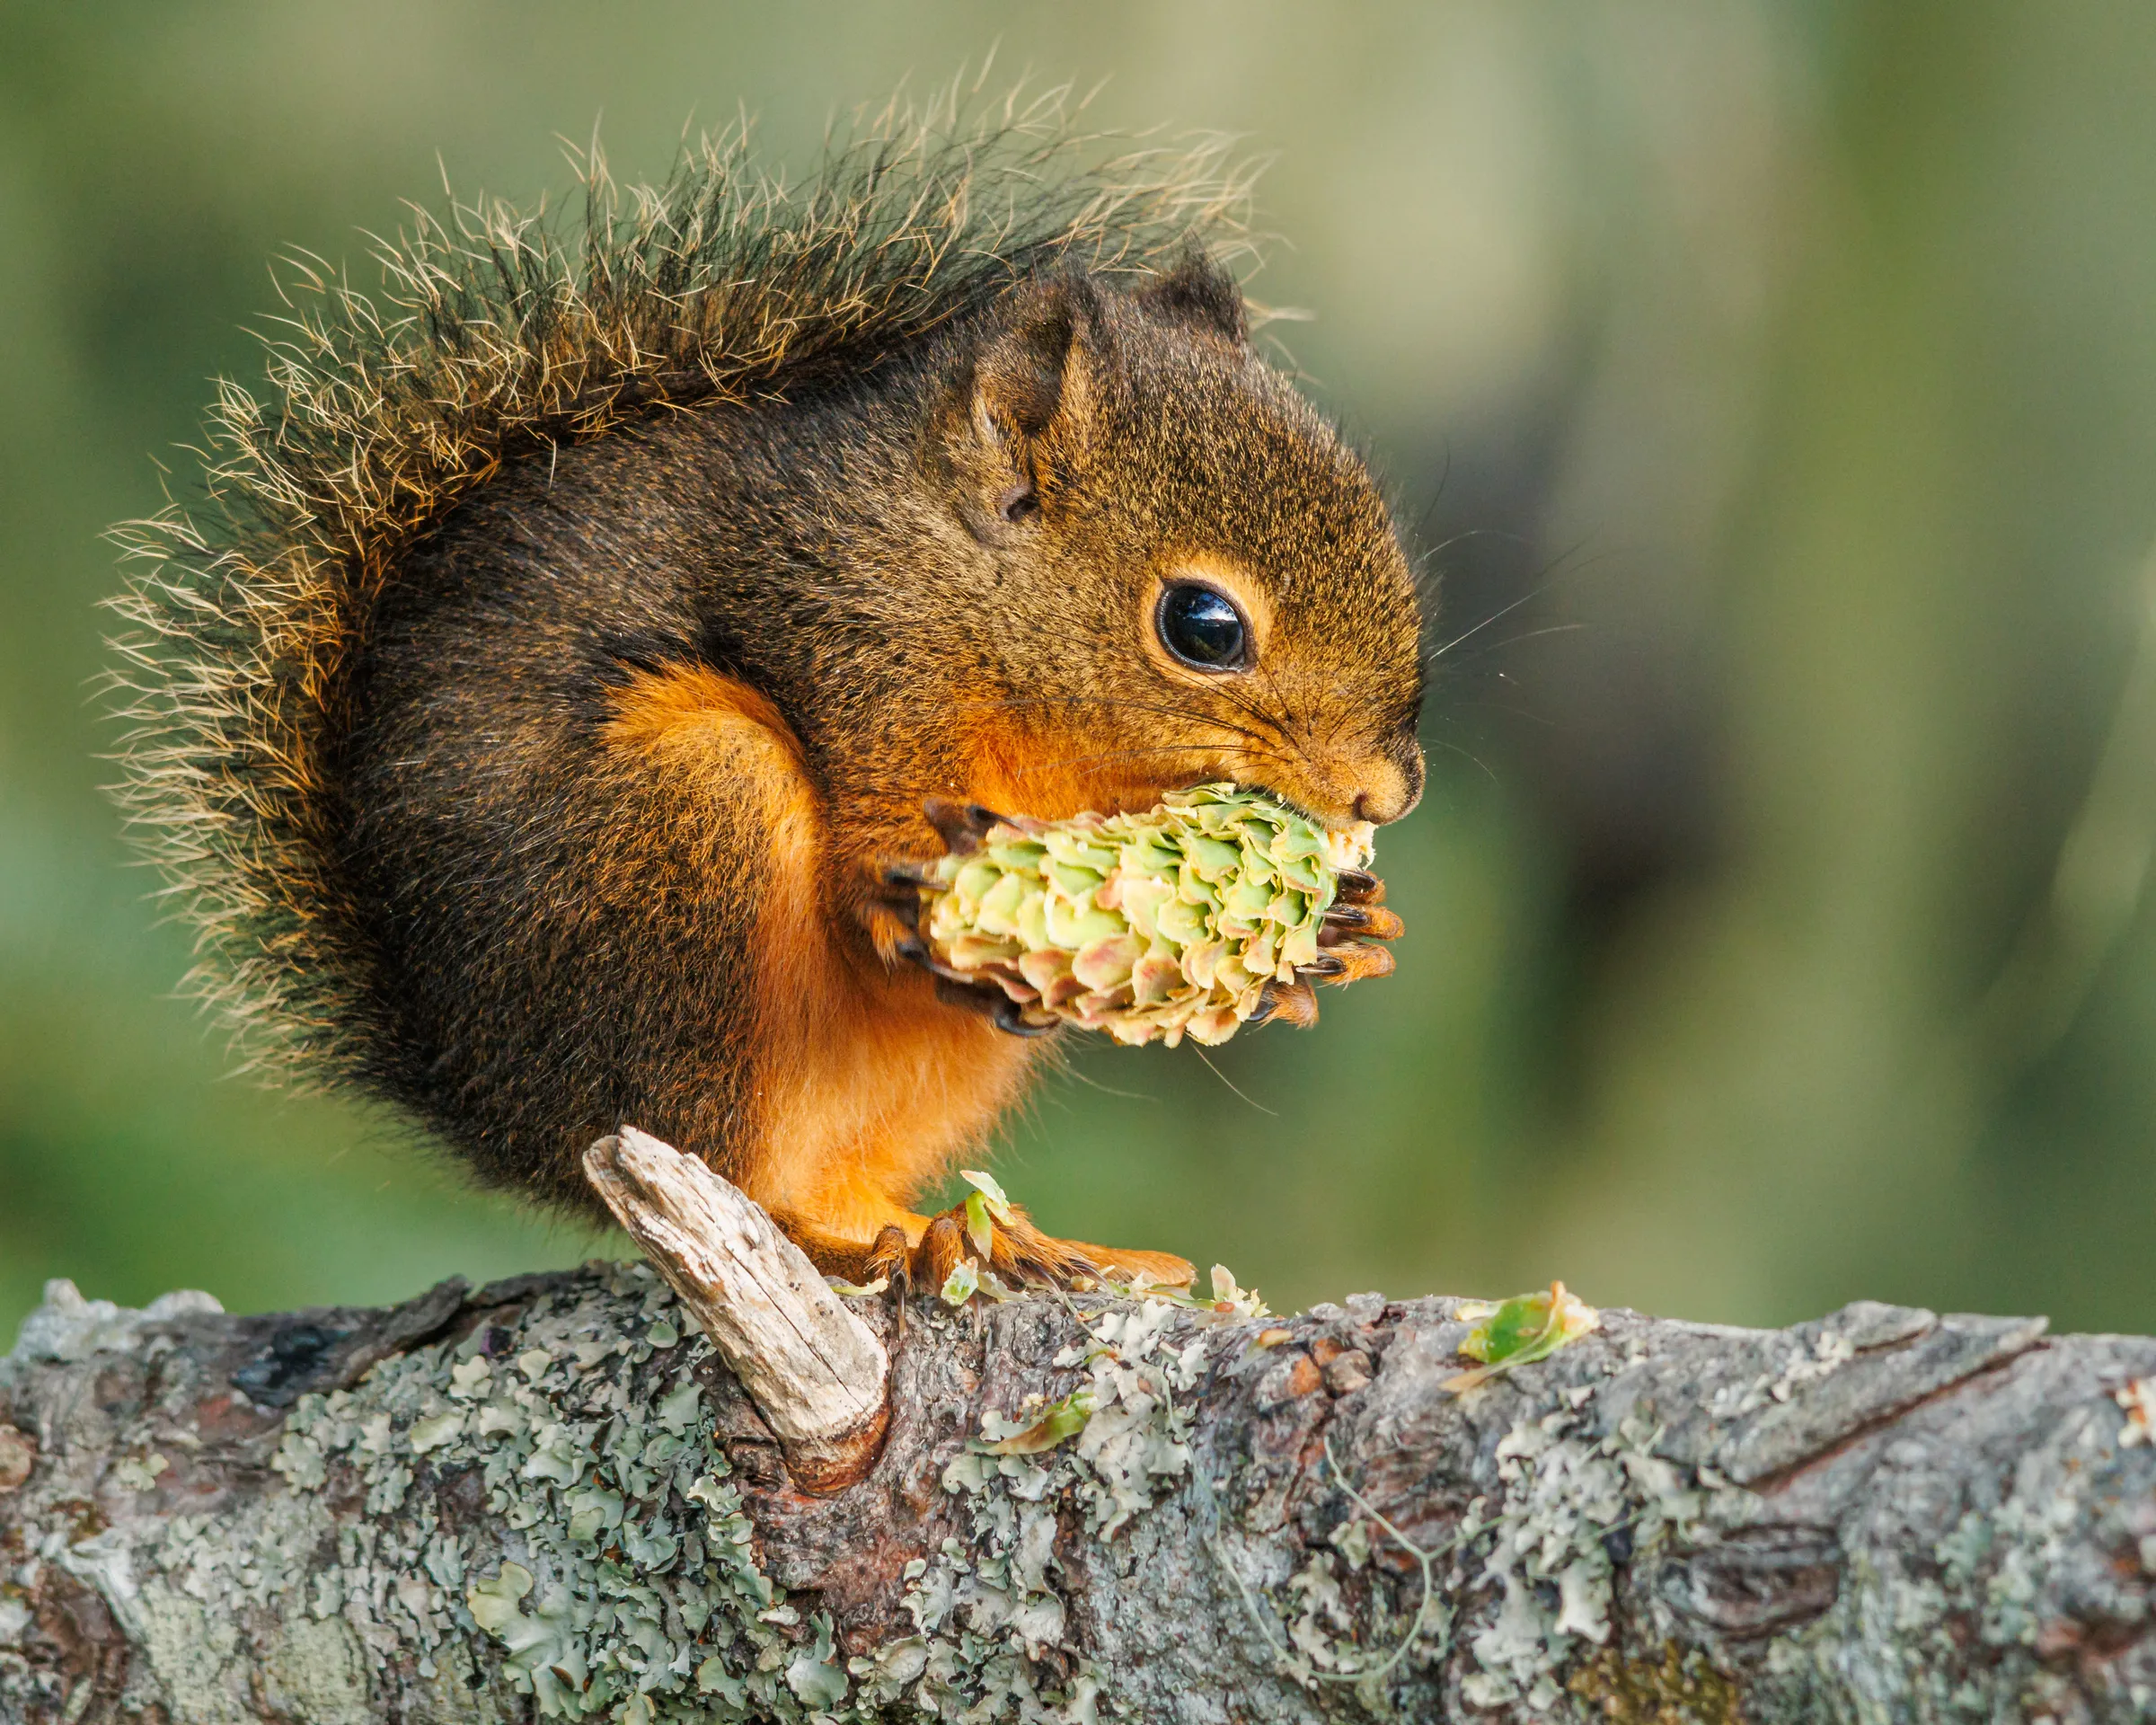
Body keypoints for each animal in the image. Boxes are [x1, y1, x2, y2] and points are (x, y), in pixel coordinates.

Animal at [107, 105, 1425, 1295]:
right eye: (1203, 626)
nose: (1388, 793)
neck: (964, 598)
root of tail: (490, 1105)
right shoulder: (834, 632)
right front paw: (904, 902)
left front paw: (1336, 935)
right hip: (685, 846)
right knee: (731, 1165)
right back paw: (840, 1237)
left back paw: (991, 1238)